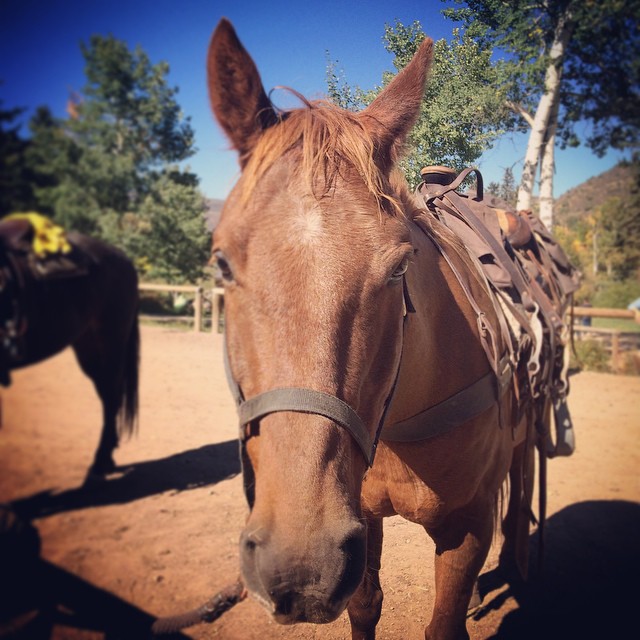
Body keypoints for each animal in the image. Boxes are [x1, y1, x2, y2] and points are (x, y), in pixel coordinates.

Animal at [206, 20, 576, 640]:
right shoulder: (358, 525)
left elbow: (444, 622)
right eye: (221, 264)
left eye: (400, 267)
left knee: (522, 485)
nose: (300, 570)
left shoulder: (467, 527)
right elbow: (365, 605)